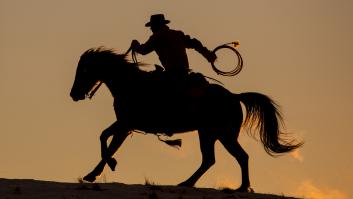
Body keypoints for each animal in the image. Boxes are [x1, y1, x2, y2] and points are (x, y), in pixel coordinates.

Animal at [69, 47, 302, 192]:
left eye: (85, 69)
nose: (74, 94)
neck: (130, 84)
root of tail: (234, 97)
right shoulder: (124, 125)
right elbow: (104, 137)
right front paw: (96, 172)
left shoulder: (126, 125)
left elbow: (108, 143)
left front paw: (106, 166)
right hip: (212, 135)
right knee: (215, 159)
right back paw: (191, 183)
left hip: (219, 135)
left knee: (235, 157)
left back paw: (237, 186)